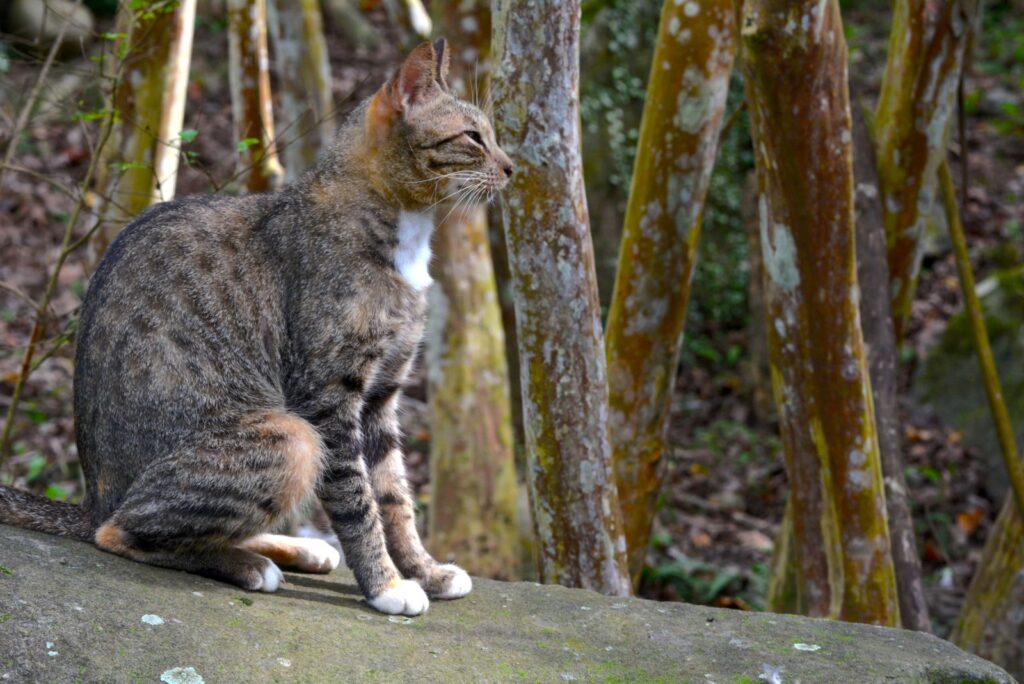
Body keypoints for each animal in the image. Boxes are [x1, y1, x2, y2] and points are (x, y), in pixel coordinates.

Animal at [0, 37, 512, 618]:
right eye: (473, 137)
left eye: (491, 135)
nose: (512, 167)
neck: (403, 231)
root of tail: (91, 500)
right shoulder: (328, 399)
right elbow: (359, 501)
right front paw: (384, 585)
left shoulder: (382, 396)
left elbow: (395, 497)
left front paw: (423, 571)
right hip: (290, 437)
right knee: (121, 532)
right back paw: (249, 564)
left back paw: (297, 548)